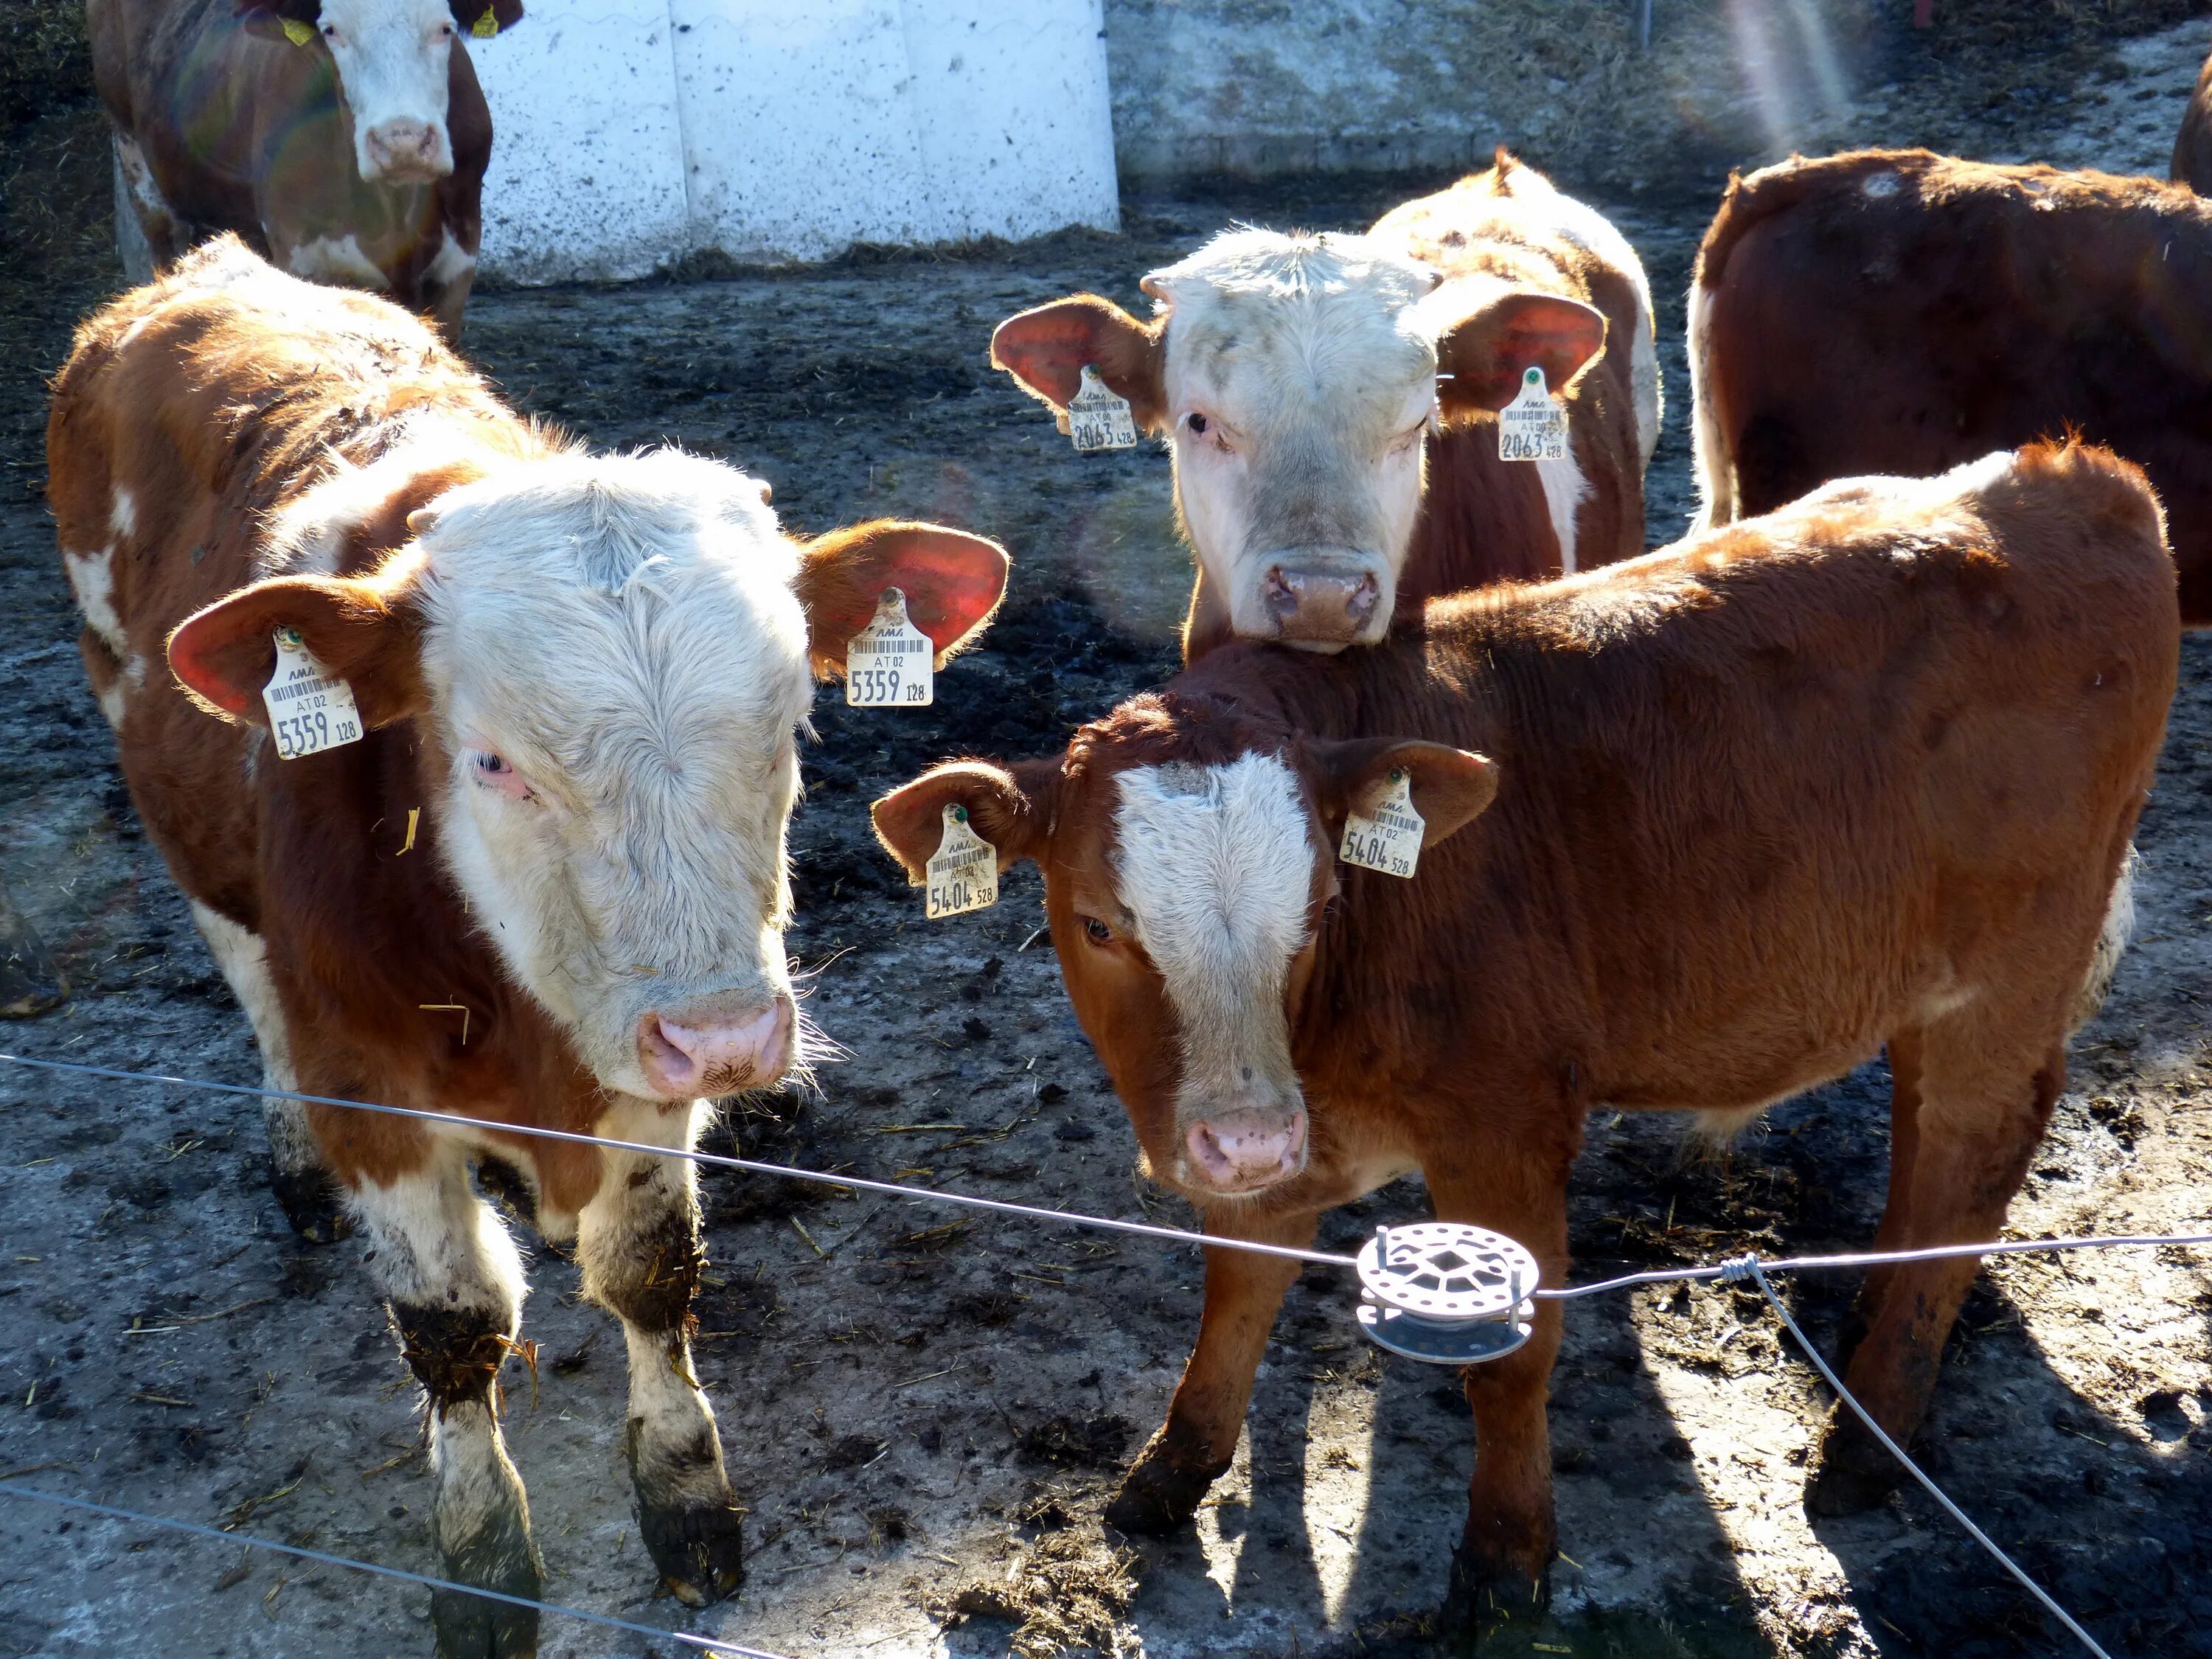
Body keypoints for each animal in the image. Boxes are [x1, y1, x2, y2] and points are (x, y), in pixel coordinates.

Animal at [49, 237, 1013, 1659]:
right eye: (493, 761)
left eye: (795, 717)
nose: (734, 1037)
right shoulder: (375, 1085)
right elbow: (452, 1328)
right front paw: (484, 1557)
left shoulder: (638, 1054)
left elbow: (651, 1274)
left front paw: (687, 1501)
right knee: (247, 983)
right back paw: (288, 1158)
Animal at [89, 0, 518, 341]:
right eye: (331, 31)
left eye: (445, 28)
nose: (403, 143)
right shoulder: (300, 252)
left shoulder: (460, 253)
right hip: (130, 144)